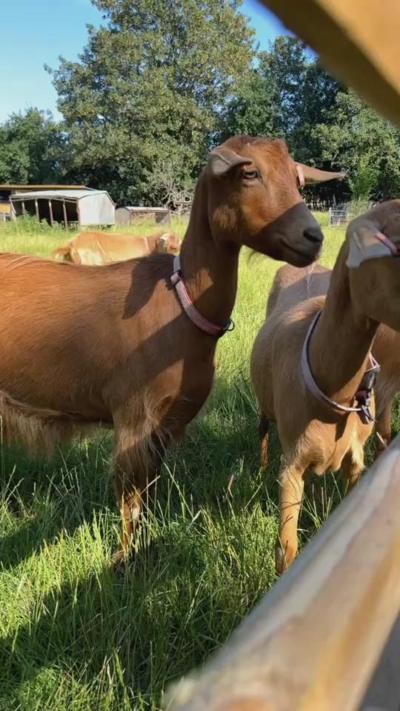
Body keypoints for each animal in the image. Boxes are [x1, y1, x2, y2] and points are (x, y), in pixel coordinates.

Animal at [0, 135, 342, 560]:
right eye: (248, 172)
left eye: (298, 179)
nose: (313, 237)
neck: (180, 304)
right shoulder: (133, 416)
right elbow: (130, 499)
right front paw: (123, 559)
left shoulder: (162, 424)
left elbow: (149, 492)